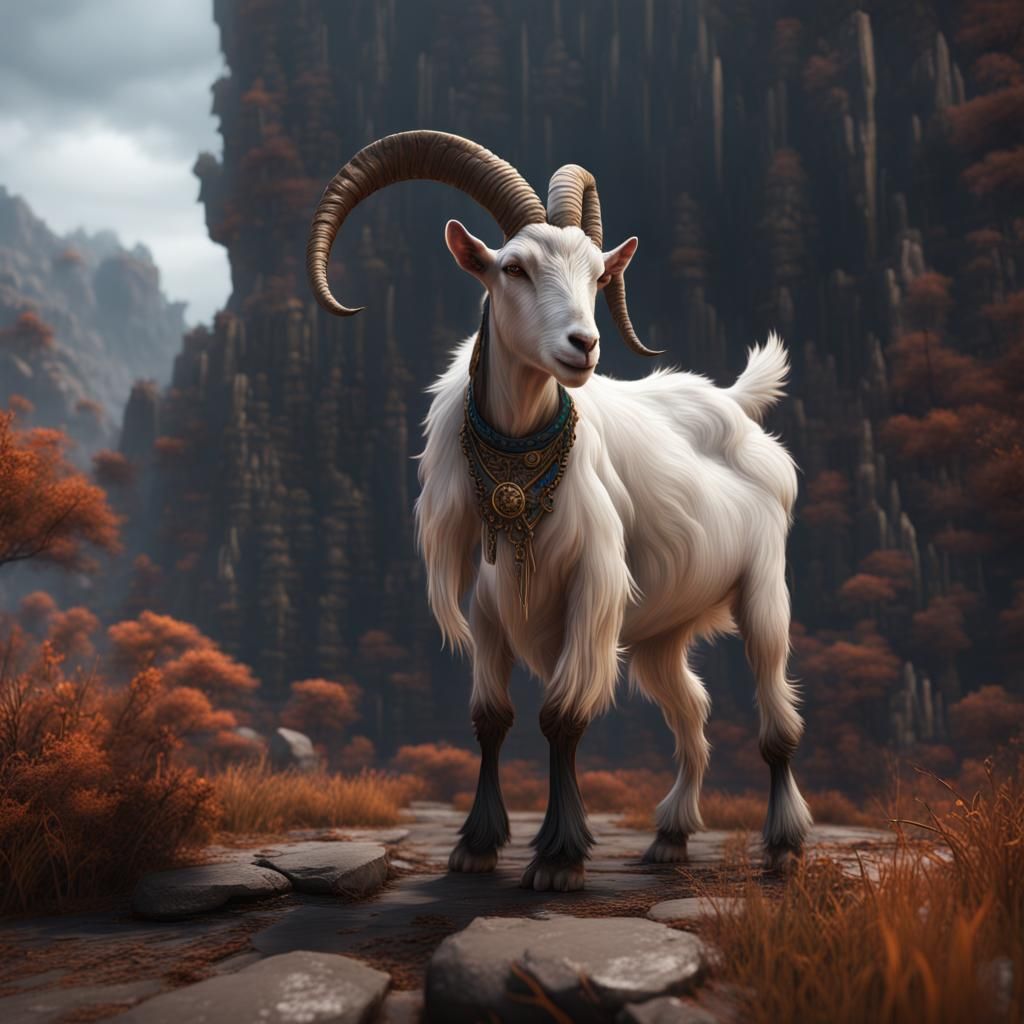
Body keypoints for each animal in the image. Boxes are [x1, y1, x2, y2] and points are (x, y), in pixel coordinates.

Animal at [307, 131, 812, 891]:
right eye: (513, 267)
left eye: (598, 276)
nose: (585, 346)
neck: (521, 464)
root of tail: (735, 403)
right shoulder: (487, 604)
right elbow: (490, 718)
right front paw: (475, 848)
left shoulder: (590, 590)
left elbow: (562, 719)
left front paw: (558, 857)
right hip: (662, 631)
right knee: (690, 709)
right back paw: (669, 837)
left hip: (762, 589)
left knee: (775, 714)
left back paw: (783, 847)